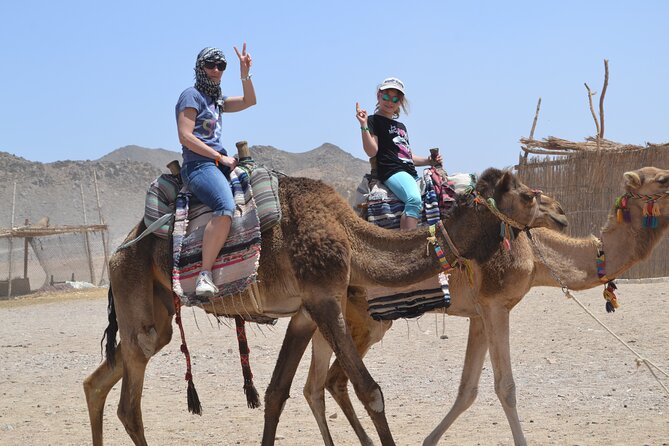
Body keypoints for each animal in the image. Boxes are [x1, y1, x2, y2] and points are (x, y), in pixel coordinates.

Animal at [82, 161, 566, 446]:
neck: (349, 235)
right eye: (528, 195)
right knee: (129, 403)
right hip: (135, 293)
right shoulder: (323, 299)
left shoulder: (303, 312)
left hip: (157, 311)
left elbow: (276, 393)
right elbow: (372, 392)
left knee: (100, 380)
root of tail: (119, 248)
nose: (561, 213)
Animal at [300, 166, 669, 446]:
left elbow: (468, 389)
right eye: (663, 179)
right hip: (360, 316)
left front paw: (429, 441)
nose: (560, 213)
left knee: (322, 383)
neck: (535, 257)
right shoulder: (495, 305)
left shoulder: (479, 313)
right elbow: (505, 387)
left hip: (343, 314)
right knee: (327, 381)